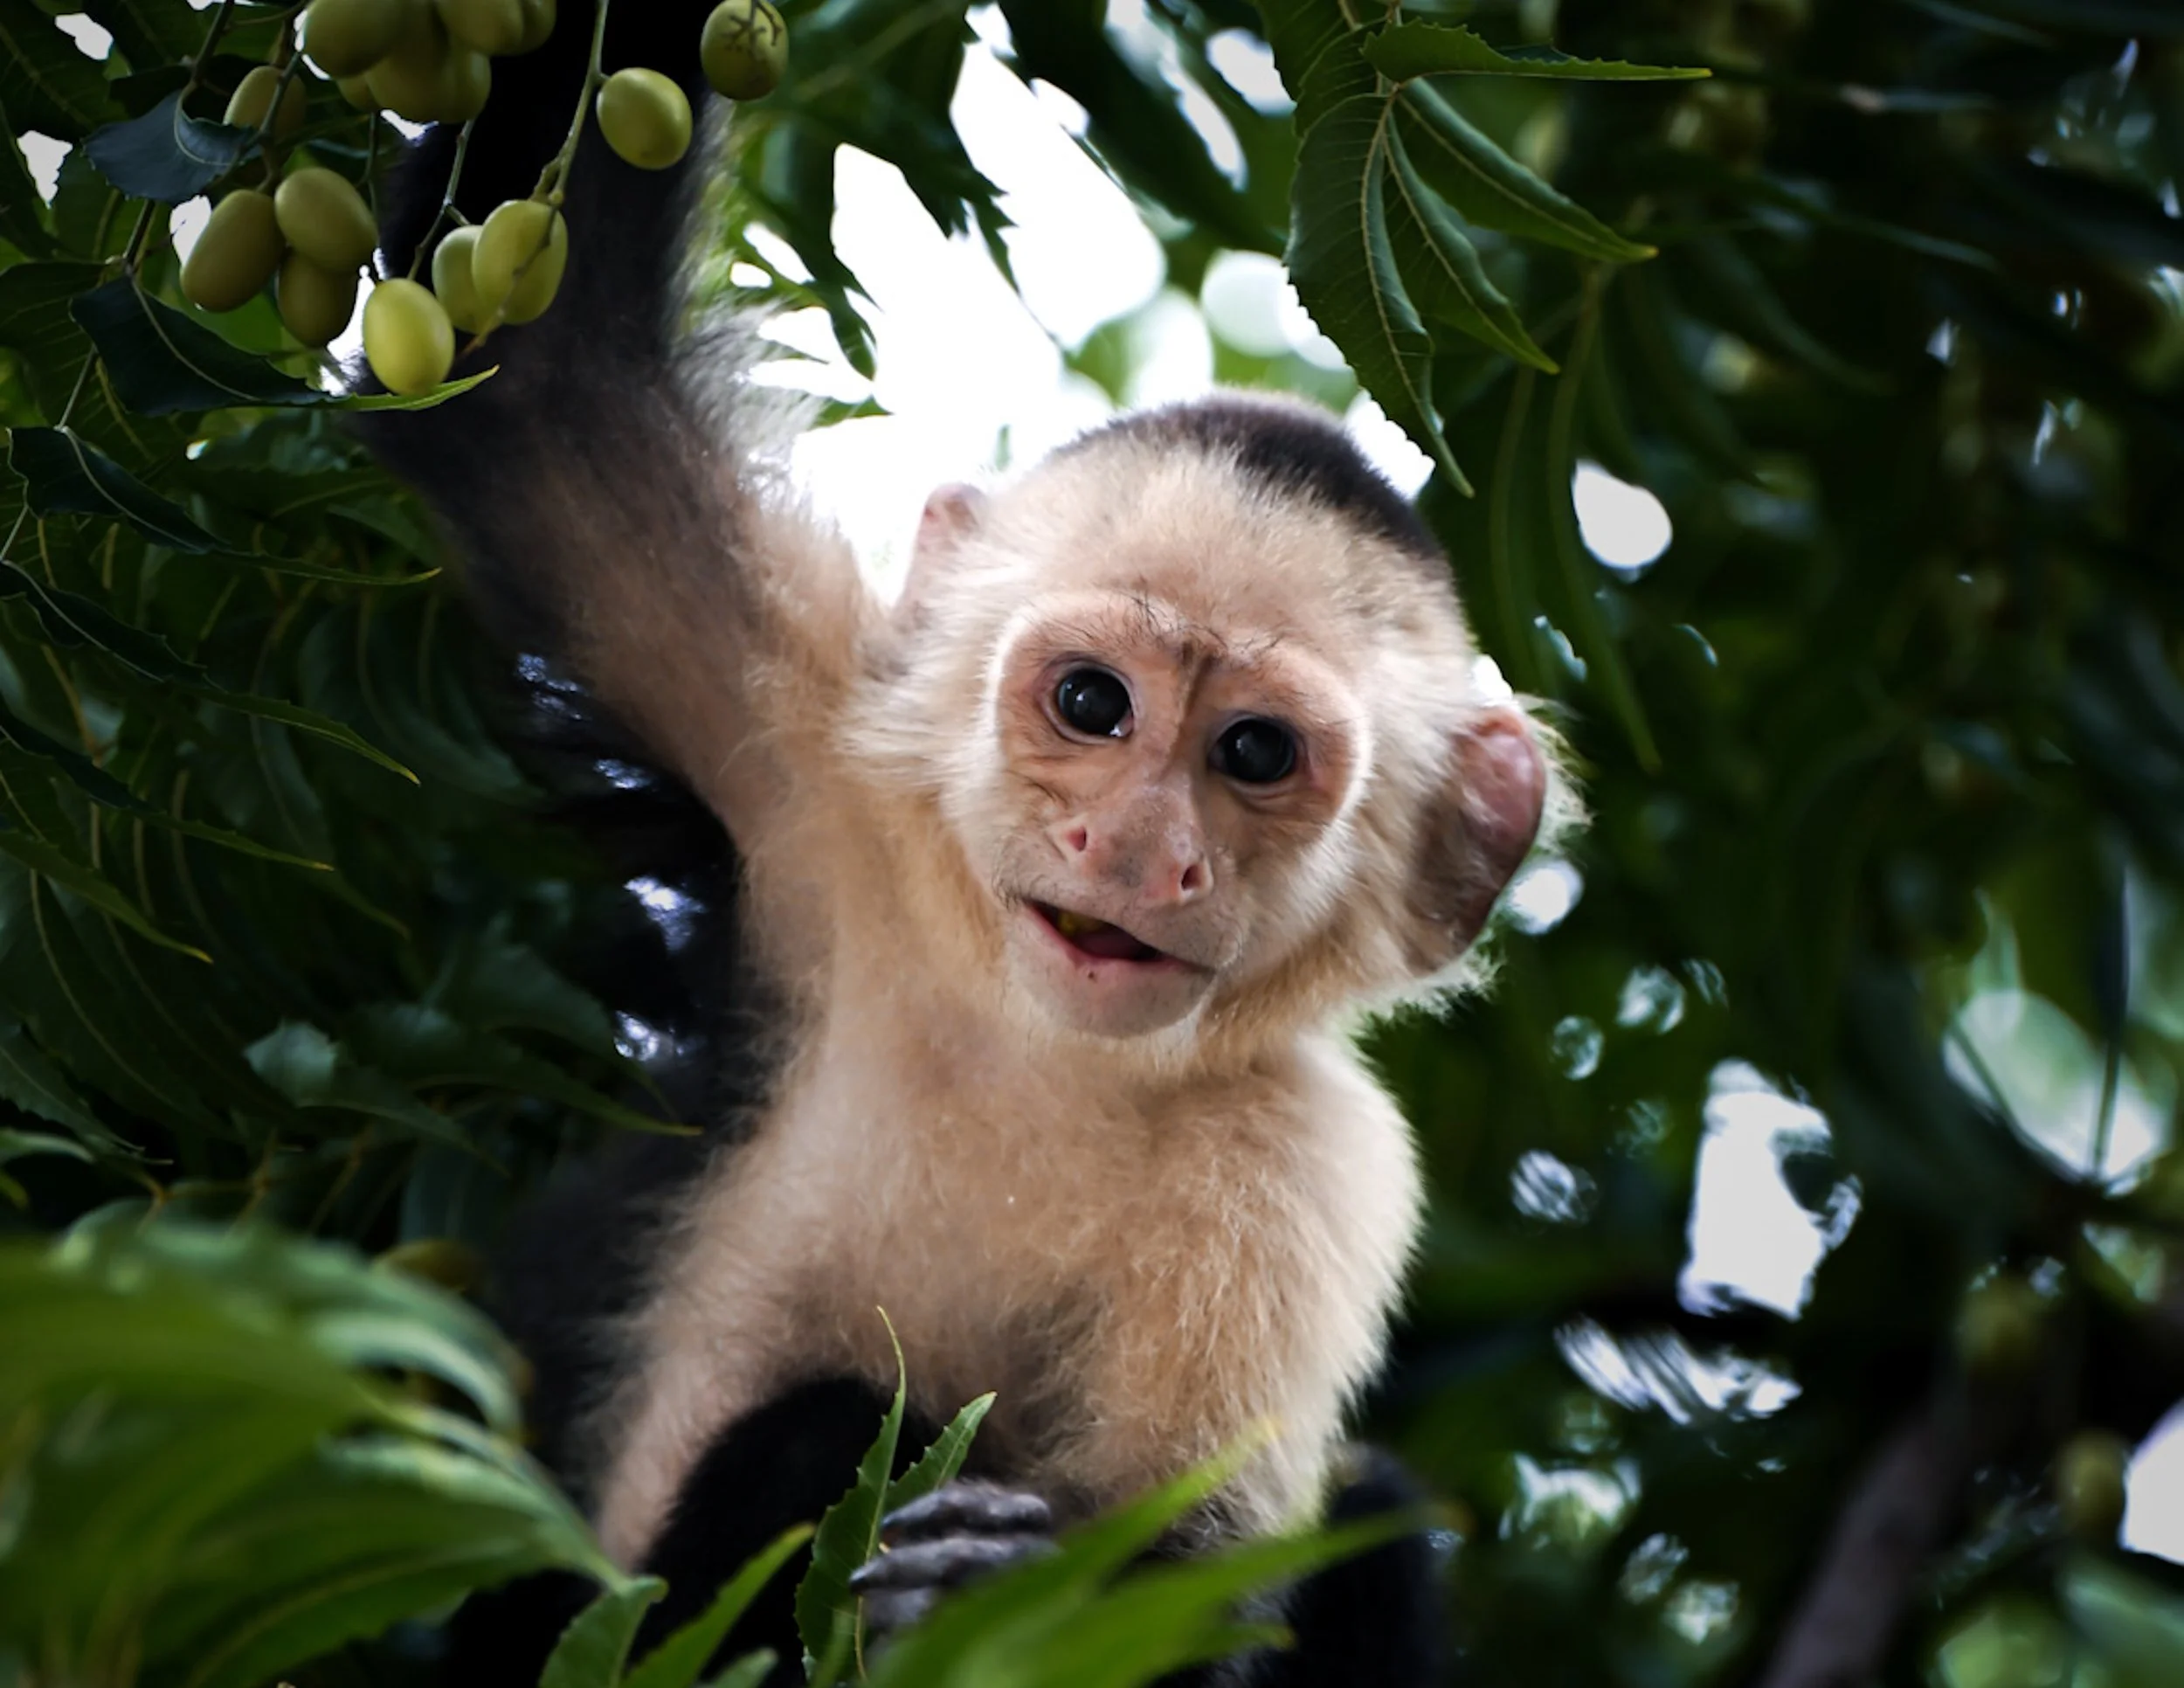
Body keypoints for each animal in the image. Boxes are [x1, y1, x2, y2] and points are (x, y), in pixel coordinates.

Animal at [357, 4, 1565, 1682]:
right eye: (1092, 703)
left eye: (1254, 755)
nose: (1138, 847)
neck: (1034, 1046)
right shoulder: (808, 770)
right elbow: (533, 384)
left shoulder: (1314, 1168)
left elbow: (1184, 1597)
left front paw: (988, 1582)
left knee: (1369, 1515)